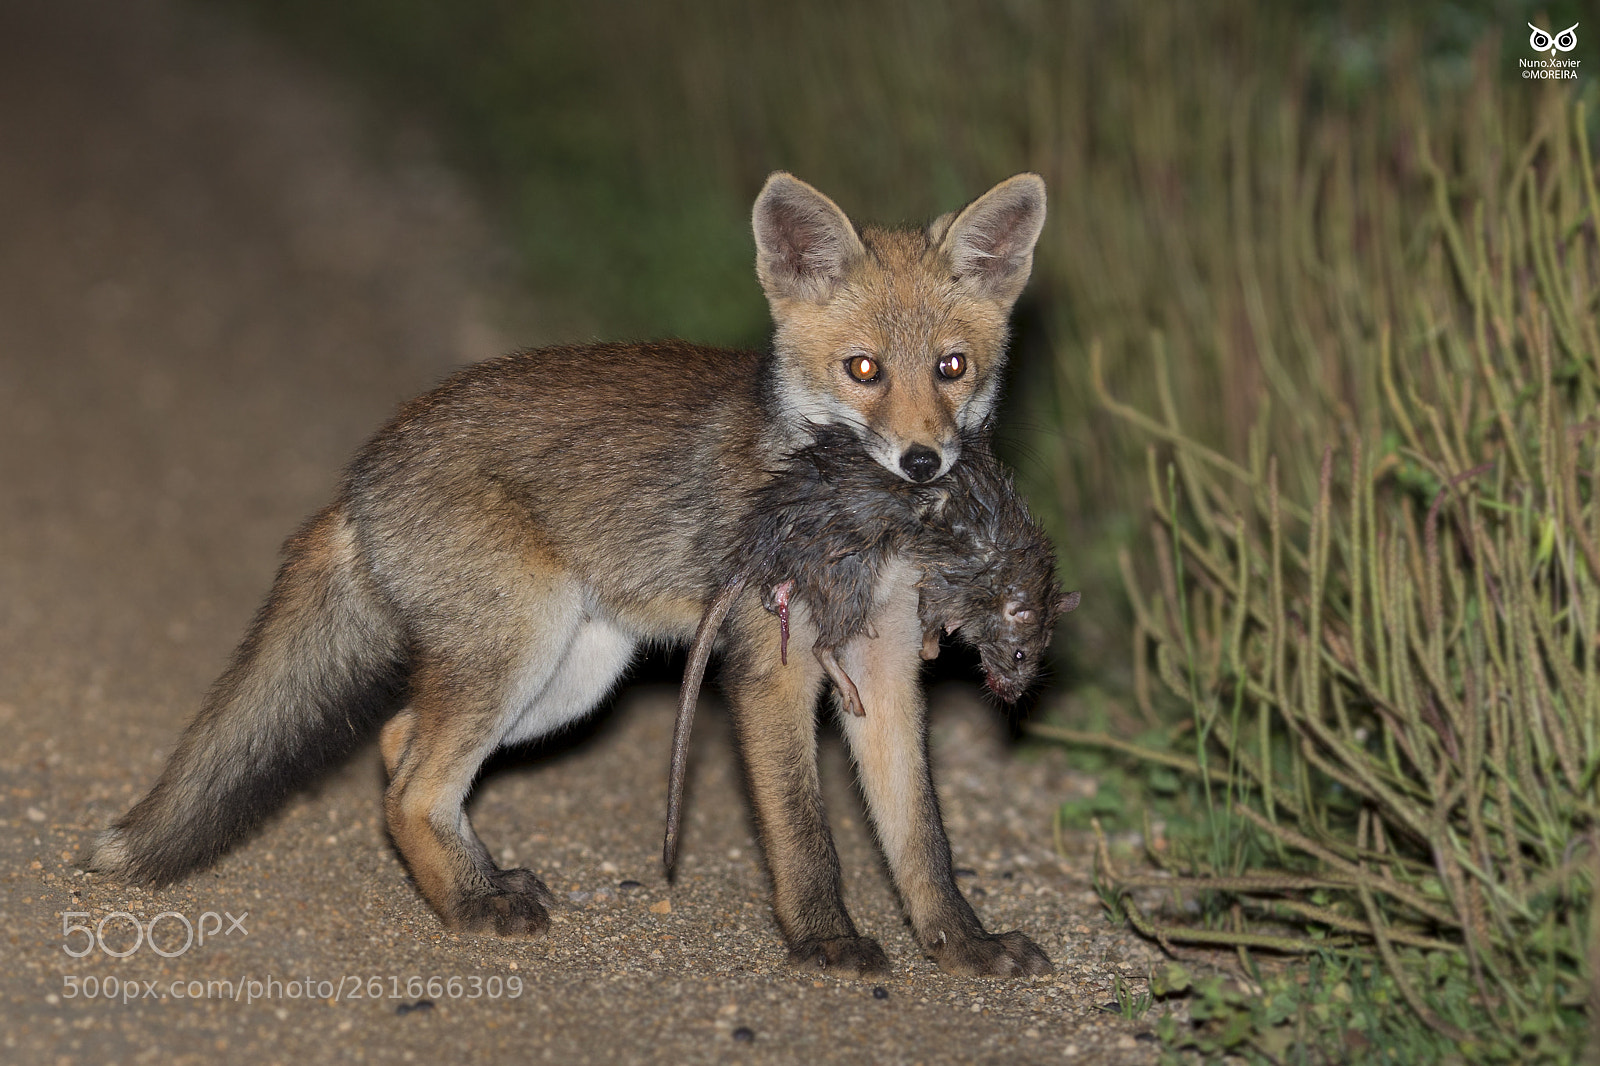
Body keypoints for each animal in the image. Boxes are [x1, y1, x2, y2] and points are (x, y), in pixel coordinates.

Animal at [90, 170, 1052, 976]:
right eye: (863, 370)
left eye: (951, 367)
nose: (922, 463)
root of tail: (358, 477)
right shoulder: (771, 666)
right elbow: (805, 835)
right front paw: (824, 940)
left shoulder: (884, 664)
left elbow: (922, 840)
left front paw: (961, 943)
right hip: (521, 650)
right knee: (410, 786)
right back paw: (472, 907)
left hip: (573, 676)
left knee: (399, 745)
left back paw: (479, 880)